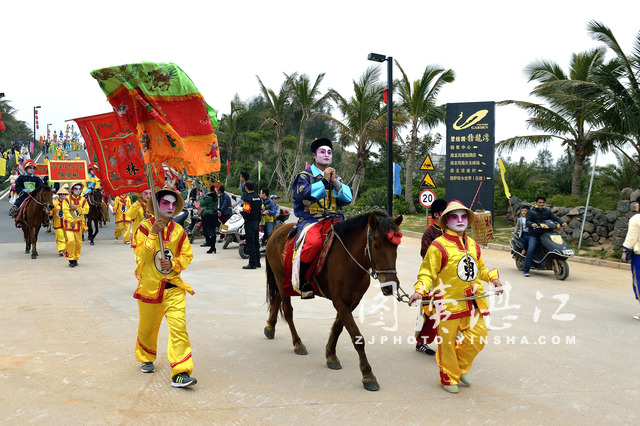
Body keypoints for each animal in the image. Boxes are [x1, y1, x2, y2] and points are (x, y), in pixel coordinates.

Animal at [264, 211, 404, 392]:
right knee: (288, 311)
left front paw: (330, 355)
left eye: (395, 247)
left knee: (276, 299)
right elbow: (357, 337)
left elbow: (338, 327)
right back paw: (298, 343)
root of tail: (278, 229)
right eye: (376, 245)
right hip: (281, 278)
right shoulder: (340, 302)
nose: (389, 286)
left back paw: (270, 327)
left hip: (284, 282)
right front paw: (368, 375)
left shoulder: (352, 302)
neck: (349, 260)